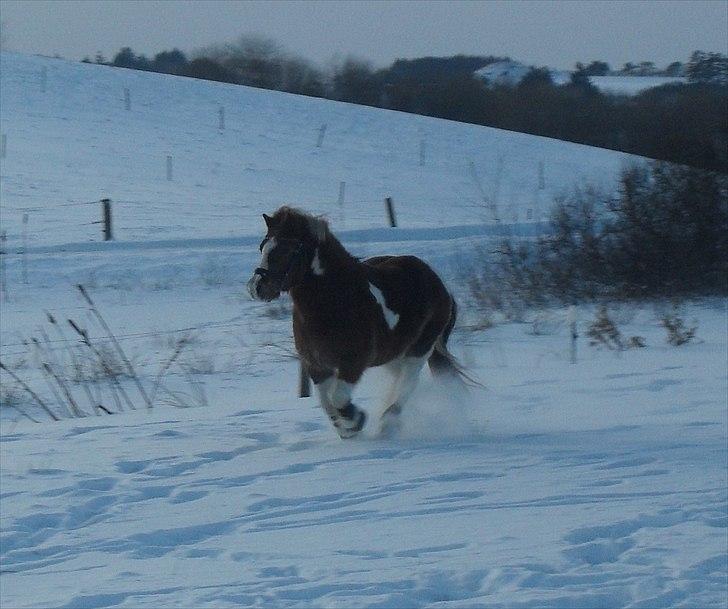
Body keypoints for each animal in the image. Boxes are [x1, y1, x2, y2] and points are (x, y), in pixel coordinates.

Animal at [247, 206, 464, 438]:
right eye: (263, 247)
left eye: (288, 250)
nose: (257, 287)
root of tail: (438, 282)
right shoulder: (316, 366)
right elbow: (326, 402)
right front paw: (347, 429)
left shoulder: (352, 364)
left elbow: (338, 397)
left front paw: (357, 420)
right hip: (393, 356)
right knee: (401, 380)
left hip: (419, 349)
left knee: (409, 382)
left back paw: (388, 421)